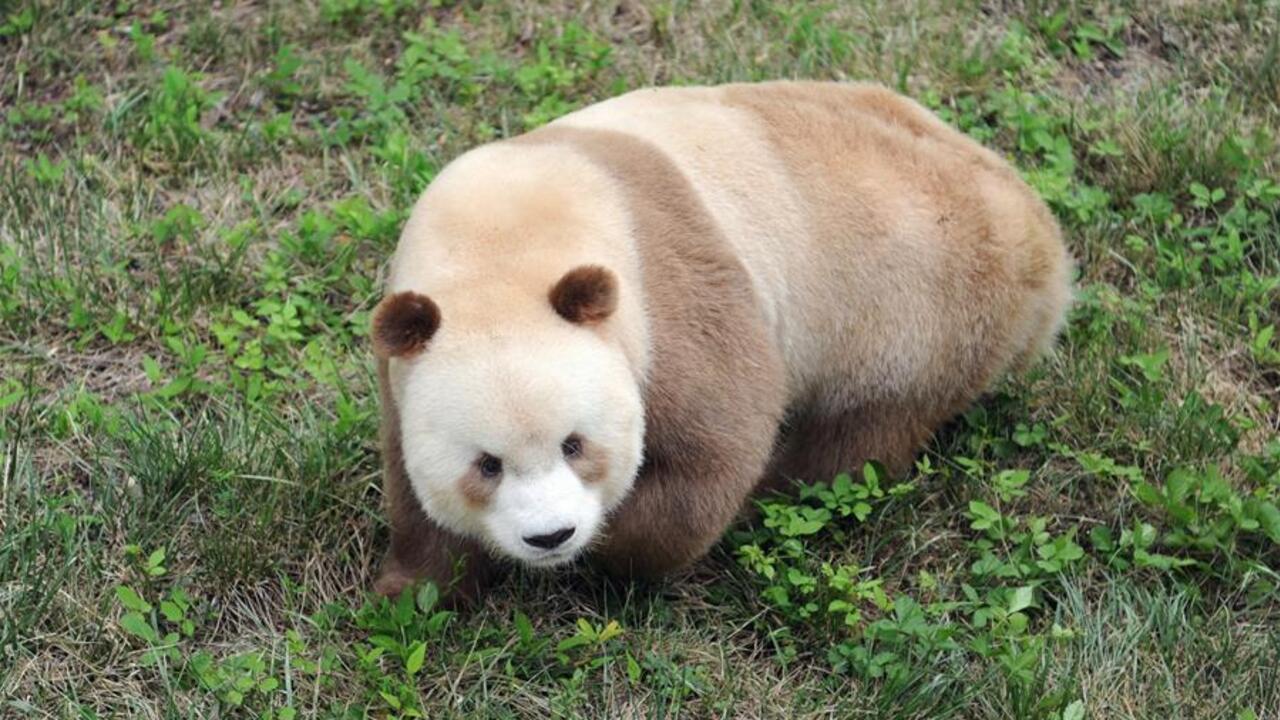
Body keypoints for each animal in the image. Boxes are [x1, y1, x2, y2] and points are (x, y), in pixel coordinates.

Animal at [370, 81, 1074, 600]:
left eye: (575, 444)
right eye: (486, 464)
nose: (552, 537)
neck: (501, 246)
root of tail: (1044, 245)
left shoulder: (665, 292)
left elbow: (717, 443)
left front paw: (613, 545)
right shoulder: (404, 359)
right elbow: (410, 480)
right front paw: (412, 591)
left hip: (918, 312)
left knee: (859, 437)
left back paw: (776, 491)